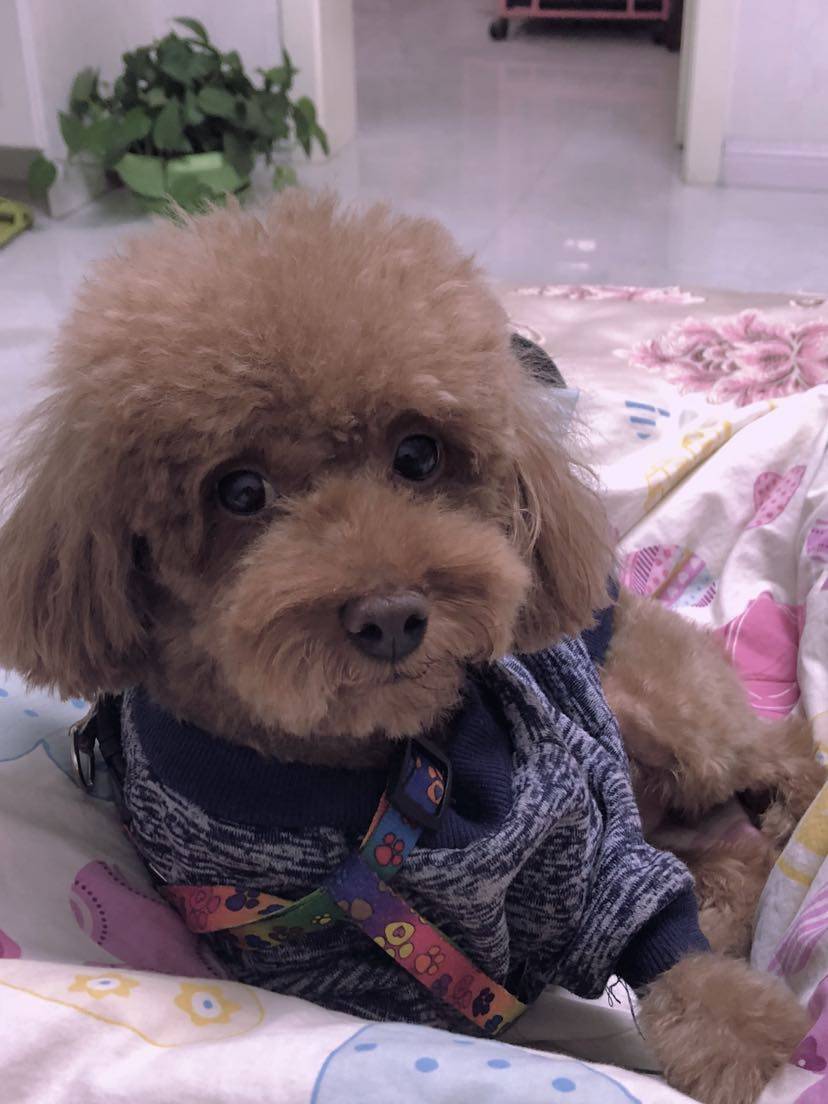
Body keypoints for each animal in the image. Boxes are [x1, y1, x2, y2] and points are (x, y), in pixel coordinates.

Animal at [0, 193, 815, 1104]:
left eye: (419, 454)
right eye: (238, 491)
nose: (392, 616)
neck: (383, 782)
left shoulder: (583, 844)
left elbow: (655, 932)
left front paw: (737, 1033)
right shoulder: (337, 967)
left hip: (671, 719)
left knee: (779, 753)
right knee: (733, 852)